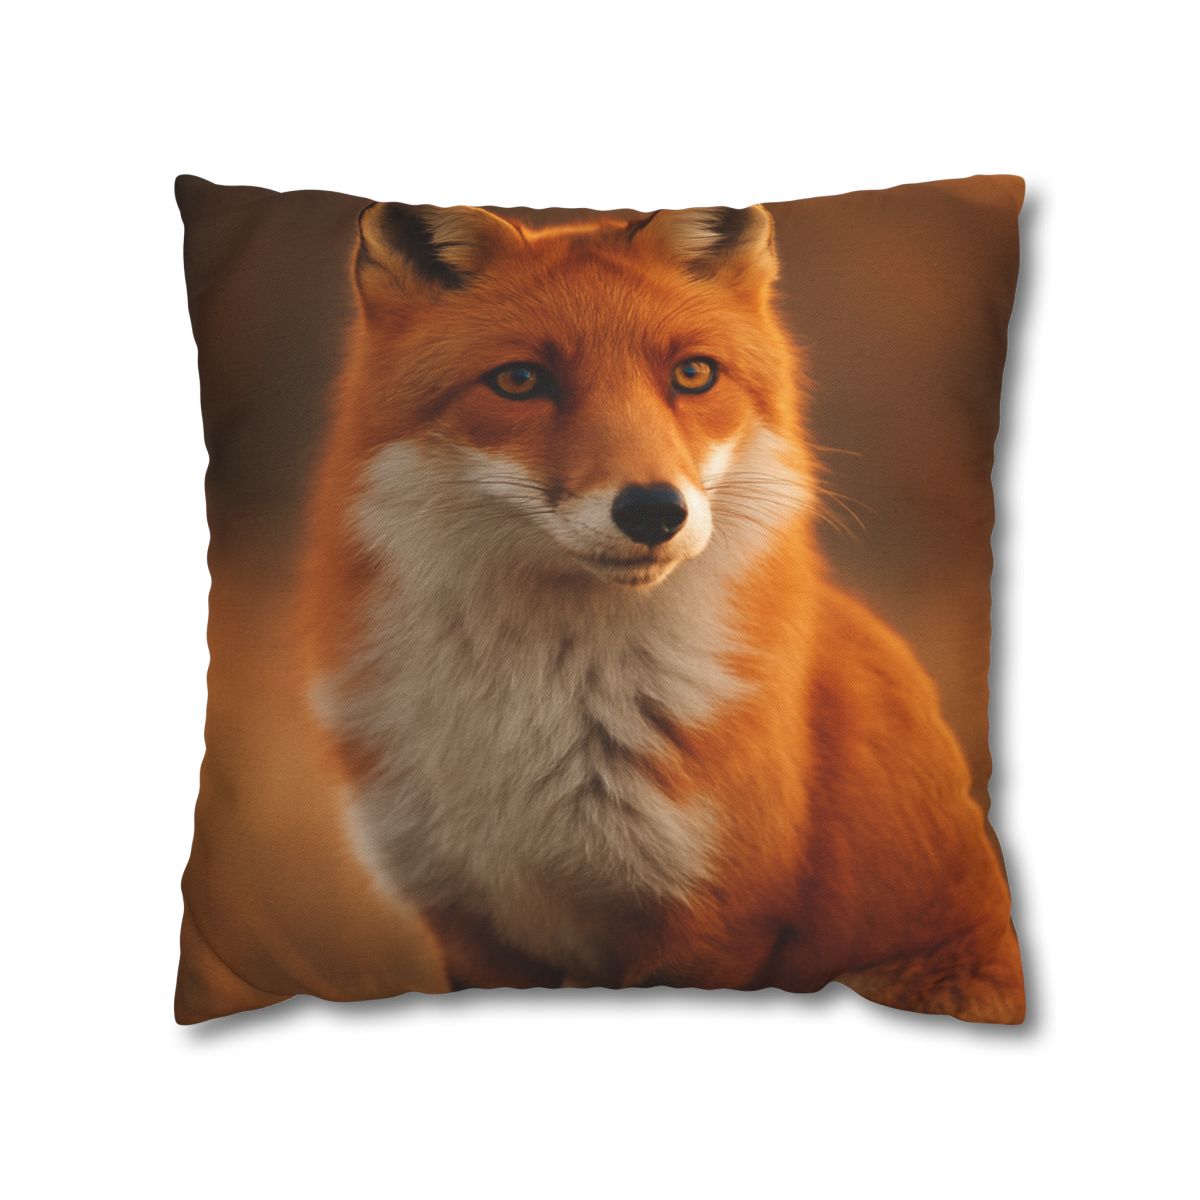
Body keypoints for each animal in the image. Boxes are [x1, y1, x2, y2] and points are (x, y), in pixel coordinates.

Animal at [300, 200, 1024, 1022]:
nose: (652, 510)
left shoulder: (718, 920)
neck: (537, 713)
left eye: (693, 373)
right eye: (519, 380)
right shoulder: (467, 924)